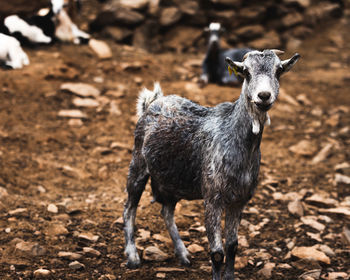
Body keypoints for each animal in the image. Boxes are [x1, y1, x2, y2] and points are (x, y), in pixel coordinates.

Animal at [122, 49, 298, 278]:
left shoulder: (239, 200)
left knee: (166, 211)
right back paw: (133, 257)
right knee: (129, 208)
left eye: (278, 71)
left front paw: (230, 276)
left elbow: (232, 246)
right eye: (246, 72)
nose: (264, 96)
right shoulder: (212, 198)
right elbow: (216, 253)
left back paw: (183, 254)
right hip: (138, 163)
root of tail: (153, 101)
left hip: (171, 181)